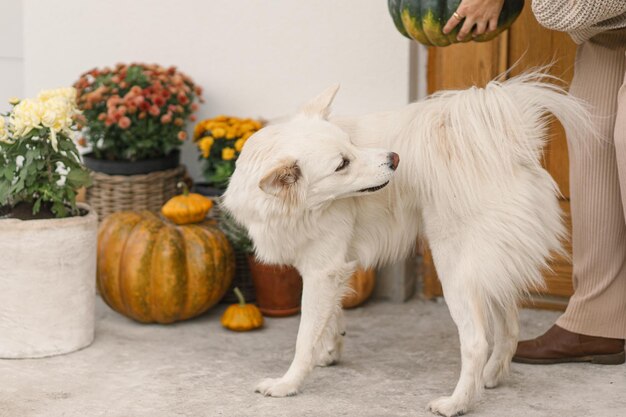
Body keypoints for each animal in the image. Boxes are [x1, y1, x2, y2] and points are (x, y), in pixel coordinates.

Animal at [223, 73, 588, 414]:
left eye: (351, 146)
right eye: (343, 164)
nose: (394, 159)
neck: (289, 206)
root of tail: (509, 144)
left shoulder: (323, 270)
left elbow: (304, 336)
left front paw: (288, 383)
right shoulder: (327, 269)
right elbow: (329, 318)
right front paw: (329, 350)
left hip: (456, 272)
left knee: (476, 342)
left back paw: (457, 403)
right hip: (491, 268)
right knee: (510, 324)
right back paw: (492, 376)